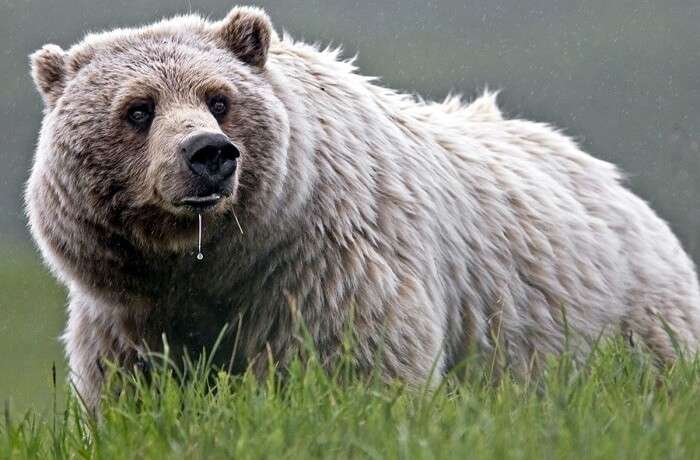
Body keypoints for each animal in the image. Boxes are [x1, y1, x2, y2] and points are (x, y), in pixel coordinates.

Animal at [24, 6, 700, 410]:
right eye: (138, 109)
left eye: (219, 99)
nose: (209, 154)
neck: (216, 262)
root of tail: (618, 184)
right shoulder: (133, 315)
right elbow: (138, 389)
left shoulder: (325, 266)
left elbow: (355, 364)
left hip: (621, 324)